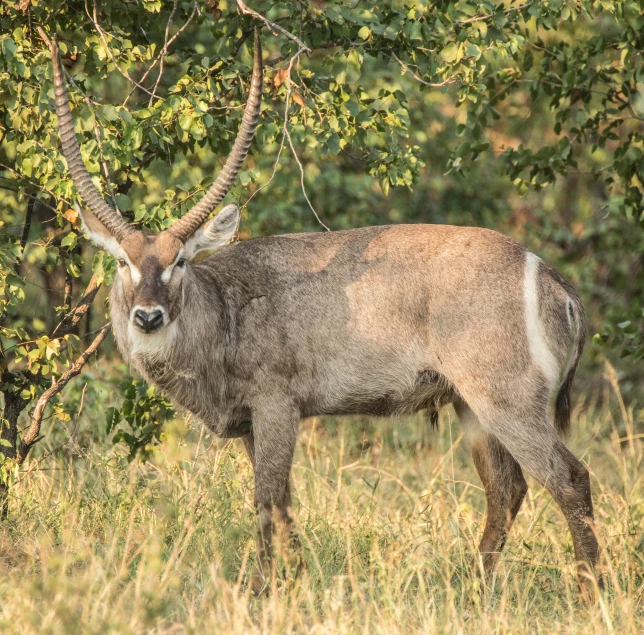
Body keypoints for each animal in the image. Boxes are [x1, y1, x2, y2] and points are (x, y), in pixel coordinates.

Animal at [44, 29, 600, 596]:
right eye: (121, 260)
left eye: (180, 260)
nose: (149, 317)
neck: (222, 310)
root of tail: (552, 279)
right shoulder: (252, 425)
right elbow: (284, 505)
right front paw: (294, 582)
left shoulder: (276, 406)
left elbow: (268, 500)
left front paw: (265, 590)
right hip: (471, 406)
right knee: (507, 490)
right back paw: (471, 588)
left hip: (507, 401)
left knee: (568, 478)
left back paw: (587, 591)